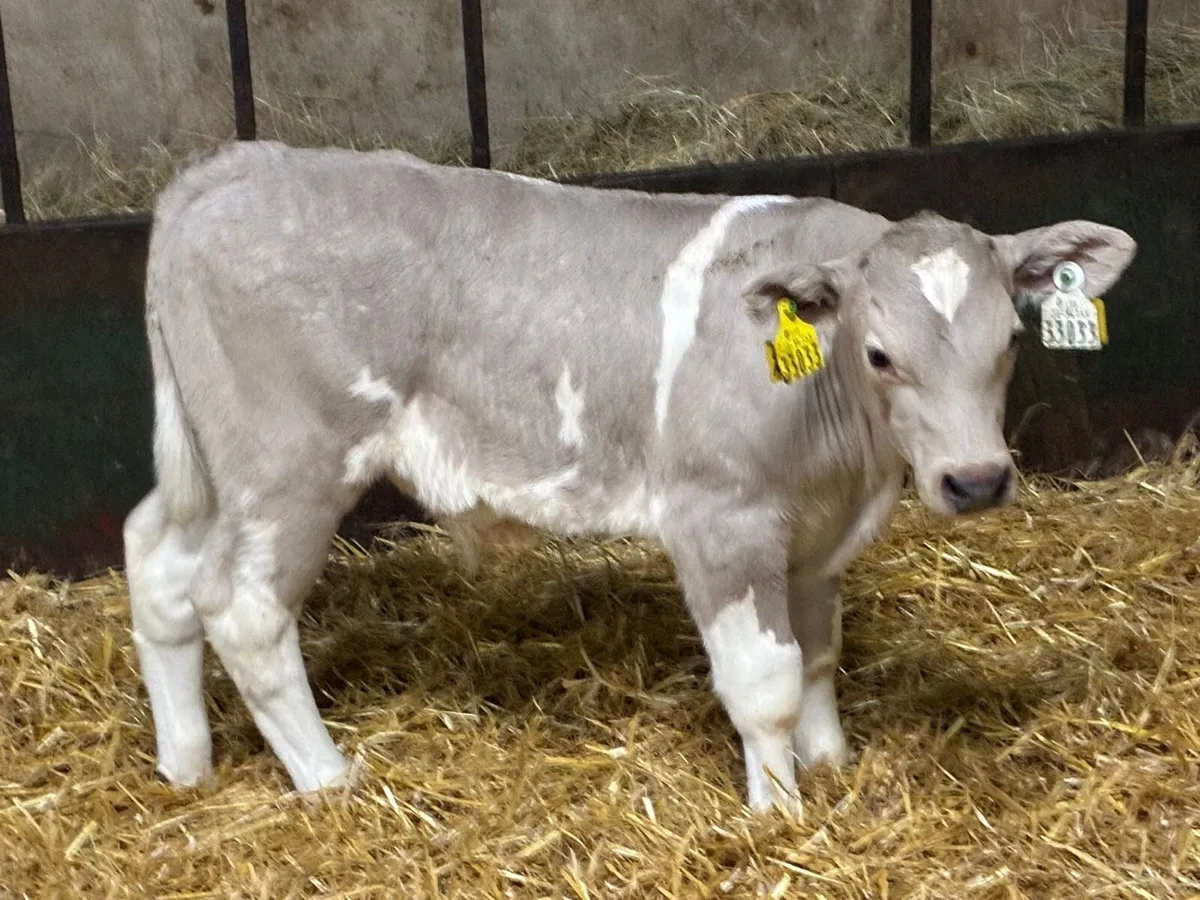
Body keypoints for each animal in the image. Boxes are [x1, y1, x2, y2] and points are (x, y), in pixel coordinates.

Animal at [122, 140, 1136, 812]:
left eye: (1011, 342)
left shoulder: (812, 537)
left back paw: (185, 764)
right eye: (880, 354)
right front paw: (780, 813)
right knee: (242, 609)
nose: (976, 480)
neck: (847, 461)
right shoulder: (721, 518)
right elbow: (764, 676)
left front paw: (831, 762)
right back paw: (328, 779)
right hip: (290, 465)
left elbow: (816, 654)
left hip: (215, 466)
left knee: (159, 563)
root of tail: (239, 163)